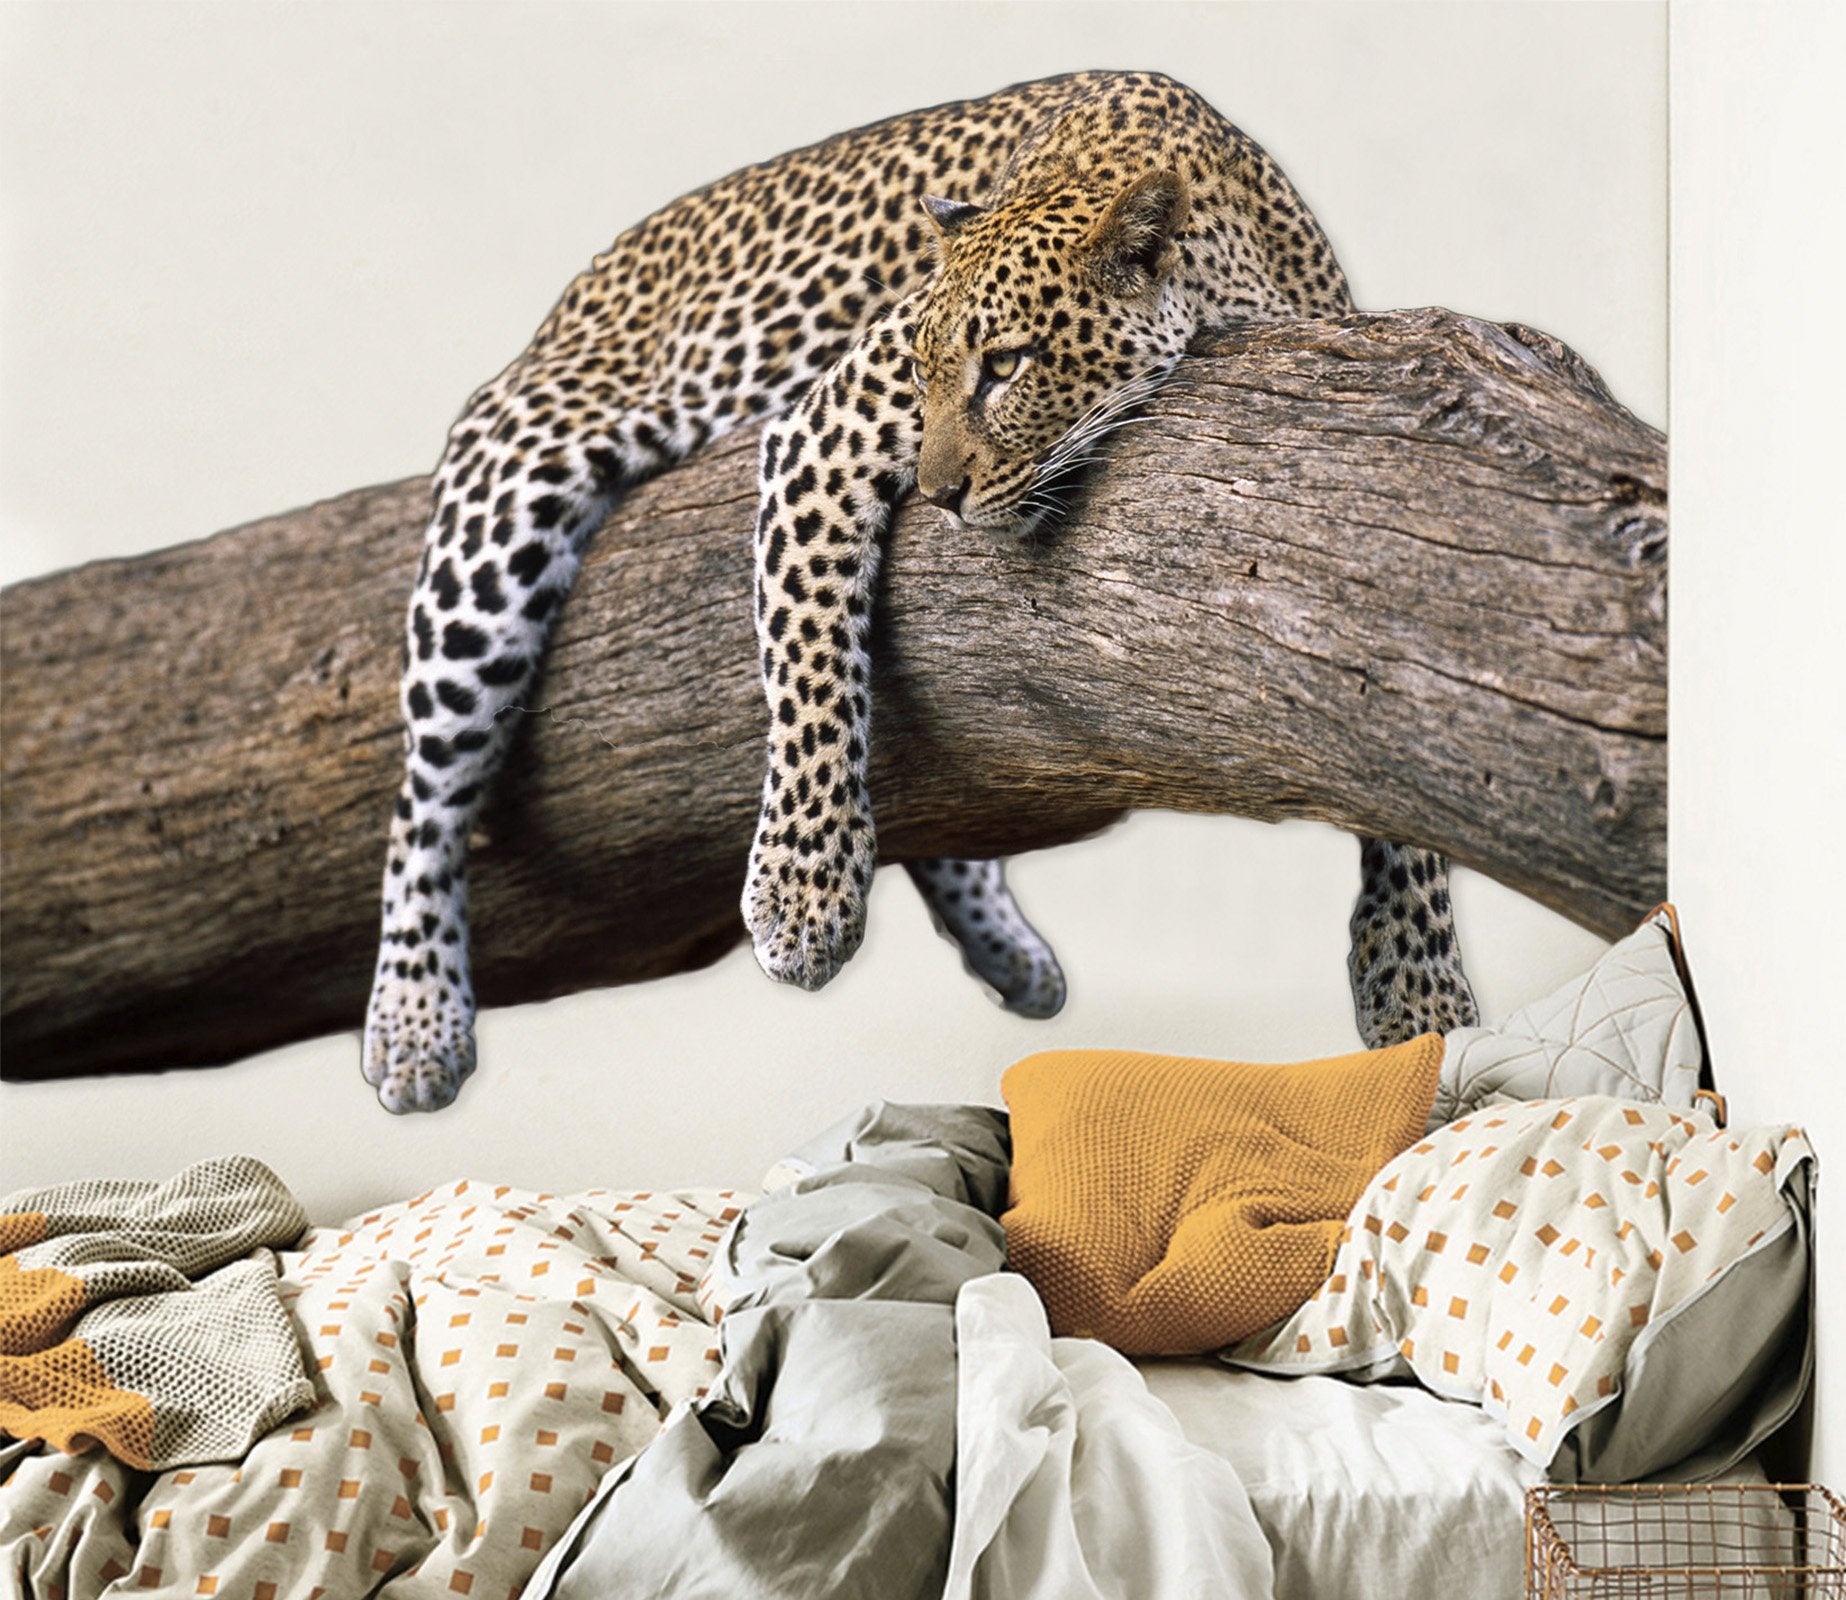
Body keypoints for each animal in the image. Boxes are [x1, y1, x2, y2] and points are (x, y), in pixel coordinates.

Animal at [363, 70, 1477, 1114]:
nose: (938, 495)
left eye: (1008, 364)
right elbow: (813, 657)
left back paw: (1008, 952)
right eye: (921, 368)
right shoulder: (819, 432)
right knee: (424, 796)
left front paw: (1418, 982)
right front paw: (802, 894)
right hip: (504, 508)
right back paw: (413, 1023)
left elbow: (1395, 754)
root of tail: (579, 287)